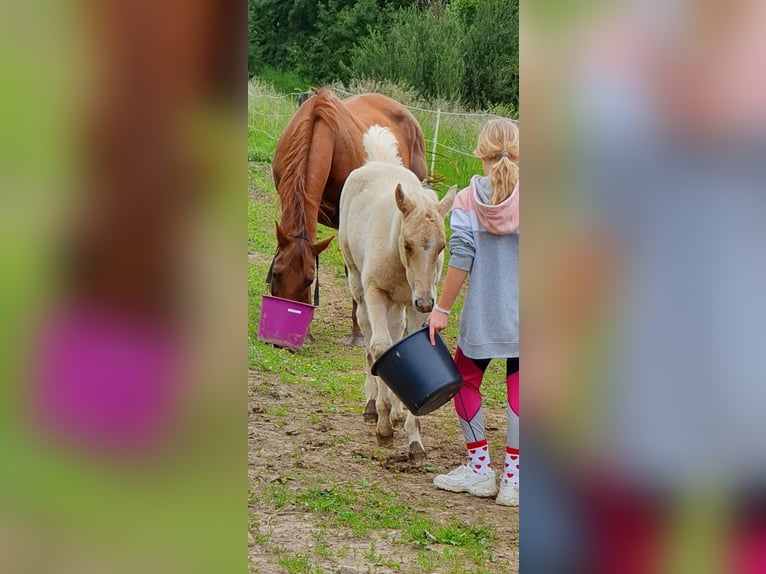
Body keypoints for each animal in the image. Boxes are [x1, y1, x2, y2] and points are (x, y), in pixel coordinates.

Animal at [338, 126, 456, 464]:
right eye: (407, 244)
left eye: (442, 247)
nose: (427, 302)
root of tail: (378, 162)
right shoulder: (377, 292)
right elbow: (379, 347)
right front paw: (384, 428)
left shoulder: (415, 302)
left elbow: (402, 343)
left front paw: (414, 438)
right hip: (359, 285)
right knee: (369, 337)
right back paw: (372, 406)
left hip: (400, 304)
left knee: (394, 332)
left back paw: (397, 409)